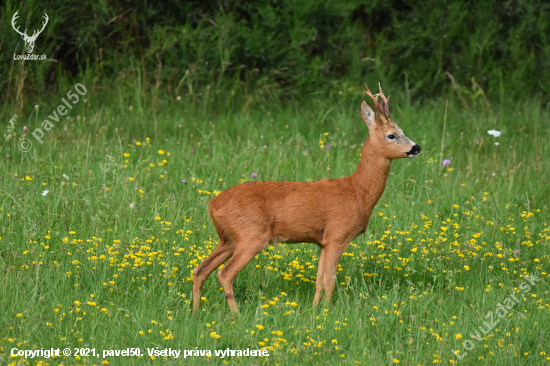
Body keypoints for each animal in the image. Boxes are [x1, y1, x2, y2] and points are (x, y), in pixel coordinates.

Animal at [194, 82, 422, 312]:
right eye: (392, 135)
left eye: (402, 131)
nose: (416, 147)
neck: (358, 192)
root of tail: (212, 204)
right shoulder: (337, 235)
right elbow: (330, 281)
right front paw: (328, 313)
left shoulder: (322, 241)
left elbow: (318, 280)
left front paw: (314, 310)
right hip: (251, 235)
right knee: (225, 273)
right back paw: (236, 315)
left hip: (228, 238)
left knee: (200, 269)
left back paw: (195, 311)